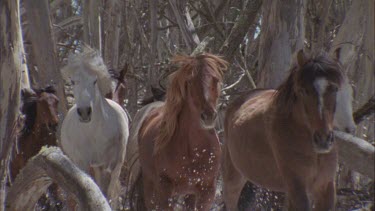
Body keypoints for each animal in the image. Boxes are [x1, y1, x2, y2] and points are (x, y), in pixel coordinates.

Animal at [59, 46, 129, 206]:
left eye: (95, 81)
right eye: (73, 81)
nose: (85, 112)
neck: (94, 134)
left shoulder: (114, 165)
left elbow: (108, 193)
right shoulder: (83, 164)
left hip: (102, 167)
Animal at [223, 49, 352, 211]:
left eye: (334, 88)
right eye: (303, 90)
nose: (323, 139)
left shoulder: (325, 186)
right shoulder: (297, 185)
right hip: (234, 176)